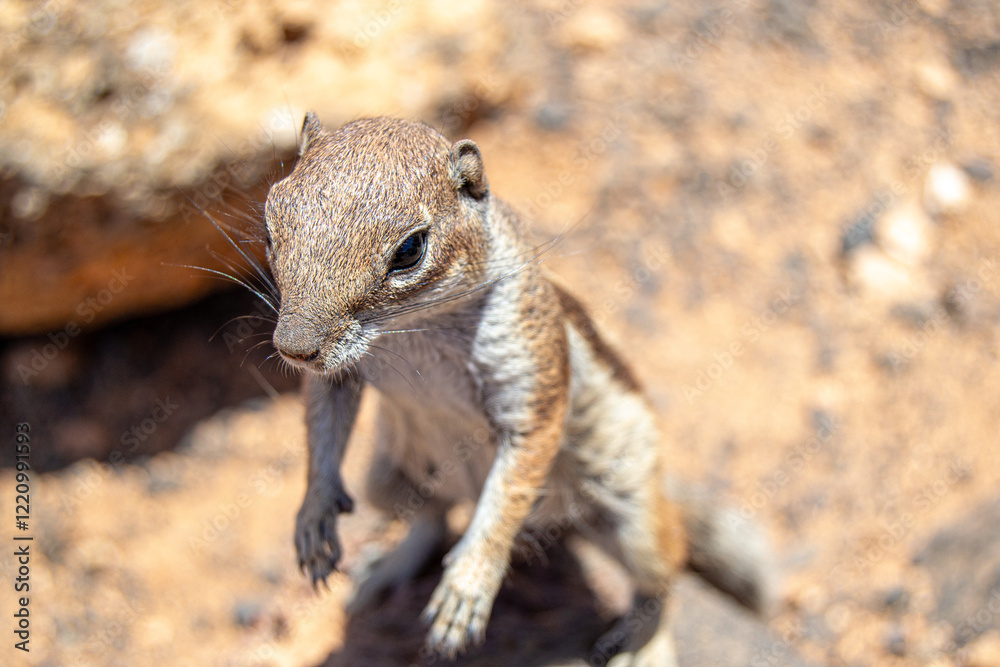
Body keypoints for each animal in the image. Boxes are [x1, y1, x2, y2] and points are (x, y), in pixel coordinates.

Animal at [262, 112, 775, 665]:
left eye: (409, 250)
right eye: (270, 224)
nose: (294, 349)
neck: (417, 328)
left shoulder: (530, 377)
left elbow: (509, 491)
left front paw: (468, 587)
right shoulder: (339, 376)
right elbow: (323, 421)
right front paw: (312, 516)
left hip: (634, 517)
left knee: (663, 575)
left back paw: (647, 646)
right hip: (385, 476)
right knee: (431, 514)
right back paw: (388, 566)